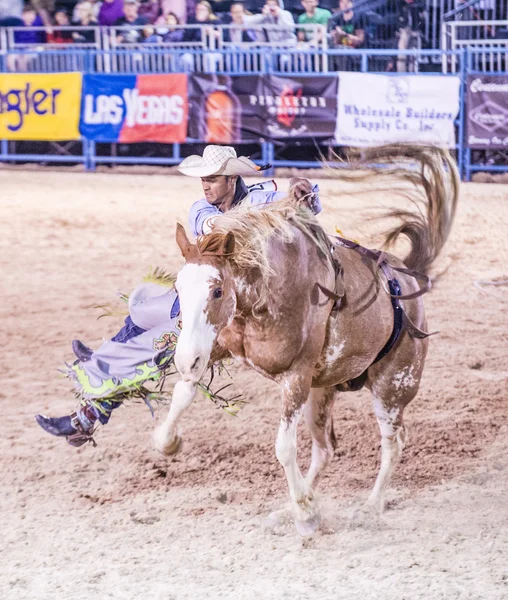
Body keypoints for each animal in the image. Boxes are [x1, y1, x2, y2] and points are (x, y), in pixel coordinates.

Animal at [153, 144, 458, 536]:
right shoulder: (215, 346)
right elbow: (183, 391)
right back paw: (292, 508)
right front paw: (168, 441)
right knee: (325, 449)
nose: (183, 358)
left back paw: (369, 508)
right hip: (322, 391)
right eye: (178, 288)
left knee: (393, 443)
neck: (271, 287)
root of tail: (407, 277)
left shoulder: (295, 378)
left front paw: (307, 516)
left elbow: (284, 447)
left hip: (393, 387)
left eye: (218, 290)